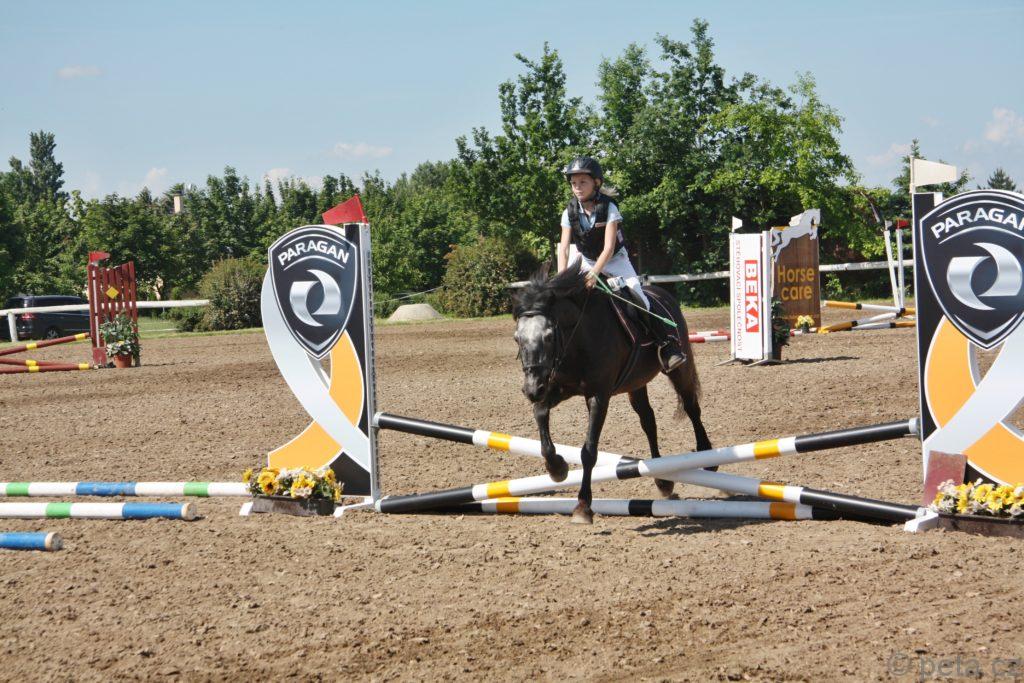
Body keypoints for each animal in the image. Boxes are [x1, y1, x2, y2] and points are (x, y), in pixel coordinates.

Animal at [512, 262, 712, 524]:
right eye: (517, 338)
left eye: (548, 336)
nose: (532, 389)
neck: (578, 338)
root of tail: (663, 294)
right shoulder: (558, 388)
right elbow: (540, 414)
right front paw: (557, 468)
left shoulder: (598, 396)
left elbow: (588, 451)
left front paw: (583, 507)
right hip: (636, 384)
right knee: (648, 421)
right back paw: (663, 481)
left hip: (680, 368)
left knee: (691, 406)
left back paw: (707, 456)